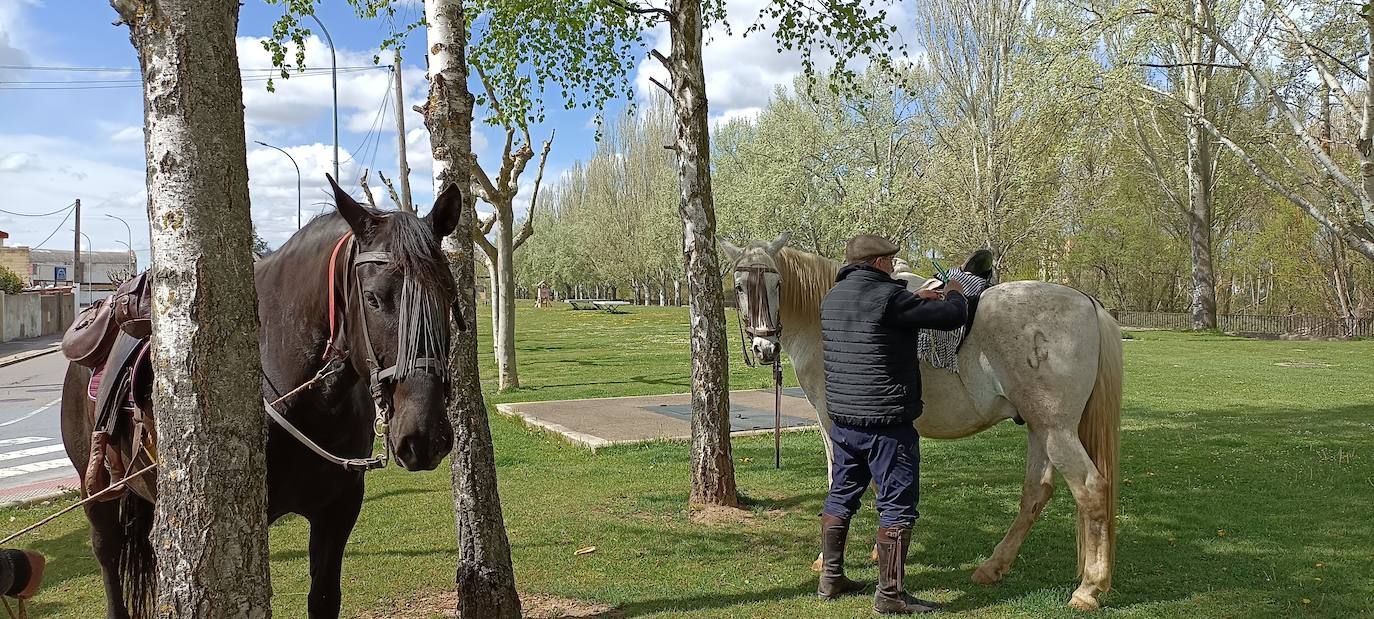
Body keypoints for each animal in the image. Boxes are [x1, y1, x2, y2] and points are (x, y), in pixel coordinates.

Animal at [61, 175, 467, 619]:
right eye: (375, 298)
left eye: (449, 295)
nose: (424, 436)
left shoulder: (337, 512)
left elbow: (324, 599)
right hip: (94, 491)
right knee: (108, 557)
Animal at [725, 234, 1121, 612]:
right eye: (740, 285)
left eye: (776, 283)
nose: (764, 347)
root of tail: (1086, 301)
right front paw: (875, 551)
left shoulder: (832, 423)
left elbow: (839, 486)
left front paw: (828, 560)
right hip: (1041, 430)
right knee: (1036, 493)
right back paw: (993, 567)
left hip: (1057, 431)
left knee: (1091, 489)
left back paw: (1088, 589)